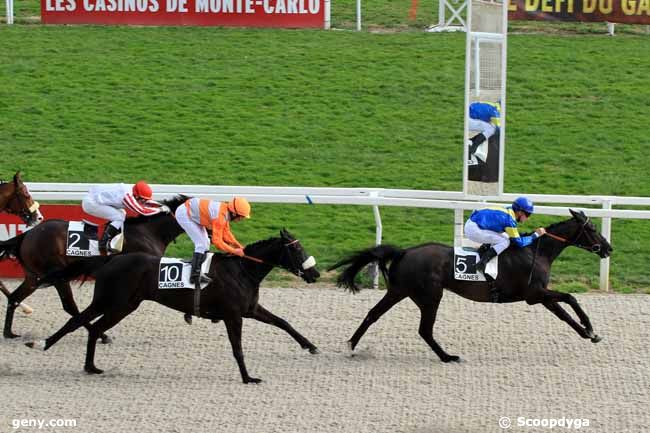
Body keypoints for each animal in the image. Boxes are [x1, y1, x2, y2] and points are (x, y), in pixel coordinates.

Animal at [0, 194, 187, 340]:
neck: (148, 233)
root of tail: (27, 234)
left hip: (34, 276)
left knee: (15, 297)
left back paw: (9, 332)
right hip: (57, 274)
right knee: (70, 306)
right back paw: (102, 335)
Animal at [29, 228, 320, 384]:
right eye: (297, 250)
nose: (315, 274)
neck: (242, 270)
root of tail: (110, 259)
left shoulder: (249, 310)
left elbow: (283, 322)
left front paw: (311, 346)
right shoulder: (233, 315)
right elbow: (238, 349)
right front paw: (248, 377)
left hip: (123, 304)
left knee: (92, 326)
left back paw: (90, 366)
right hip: (112, 300)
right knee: (78, 322)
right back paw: (43, 344)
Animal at [332, 209, 612, 362]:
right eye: (592, 228)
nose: (608, 248)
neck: (535, 252)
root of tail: (405, 252)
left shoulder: (540, 296)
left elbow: (565, 313)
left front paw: (589, 333)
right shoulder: (535, 294)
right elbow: (571, 298)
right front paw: (590, 329)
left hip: (400, 291)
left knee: (373, 314)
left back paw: (351, 346)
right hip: (430, 296)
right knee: (424, 330)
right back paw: (448, 357)